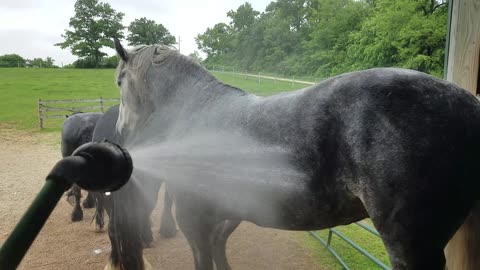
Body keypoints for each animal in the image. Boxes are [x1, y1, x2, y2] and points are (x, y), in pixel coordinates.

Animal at [108, 38, 480, 270]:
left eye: (119, 81)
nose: (122, 133)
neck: (196, 113)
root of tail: (469, 103)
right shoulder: (227, 216)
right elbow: (219, 251)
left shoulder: (194, 220)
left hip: (408, 245)